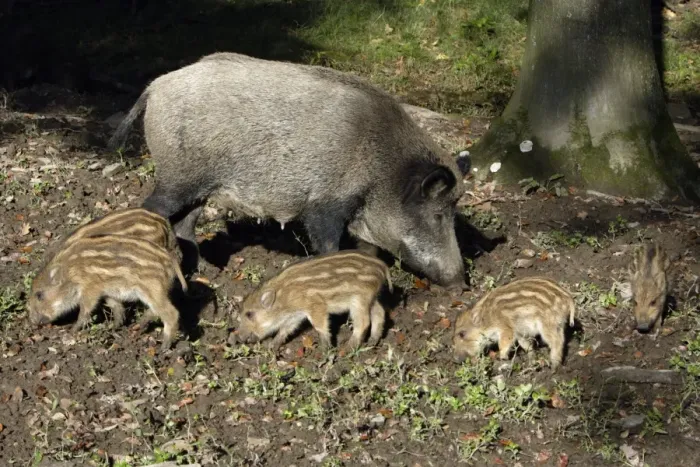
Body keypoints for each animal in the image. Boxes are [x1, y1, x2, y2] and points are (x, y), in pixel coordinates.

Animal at [27, 234, 188, 351]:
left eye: (39, 295)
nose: (33, 322)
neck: (70, 272)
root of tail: (169, 259)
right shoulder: (106, 291)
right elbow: (115, 305)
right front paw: (113, 326)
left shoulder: (91, 288)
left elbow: (85, 310)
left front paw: (72, 330)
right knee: (155, 311)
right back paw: (137, 327)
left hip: (152, 289)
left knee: (171, 313)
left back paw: (164, 347)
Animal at [107, 51, 469, 288]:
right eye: (438, 215)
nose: (462, 285)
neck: (383, 168)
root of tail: (155, 86)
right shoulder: (324, 204)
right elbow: (328, 244)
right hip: (177, 177)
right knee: (153, 210)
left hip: (198, 187)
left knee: (185, 223)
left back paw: (210, 274)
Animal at [236, 250, 393, 351]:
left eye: (249, 314)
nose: (238, 339)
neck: (284, 297)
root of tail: (382, 265)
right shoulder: (295, 315)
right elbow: (286, 328)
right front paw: (272, 346)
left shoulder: (316, 305)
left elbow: (319, 326)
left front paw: (325, 349)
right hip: (371, 297)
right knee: (379, 312)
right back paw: (372, 341)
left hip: (359, 299)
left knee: (364, 321)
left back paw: (347, 348)